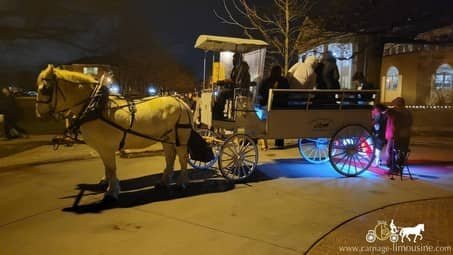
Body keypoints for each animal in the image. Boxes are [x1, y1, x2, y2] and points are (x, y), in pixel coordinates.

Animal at [34, 64, 192, 202]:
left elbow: (111, 168)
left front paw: (111, 191)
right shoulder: (102, 147)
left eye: (45, 89)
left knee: (182, 158)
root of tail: (181, 102)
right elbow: (107, 167)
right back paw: (164, 182)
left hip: (180, 138)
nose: (39, 114)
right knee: (170, 157)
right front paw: (107, 184)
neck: (95, 107)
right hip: (166, 137)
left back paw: (181, 183)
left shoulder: (107, 147)